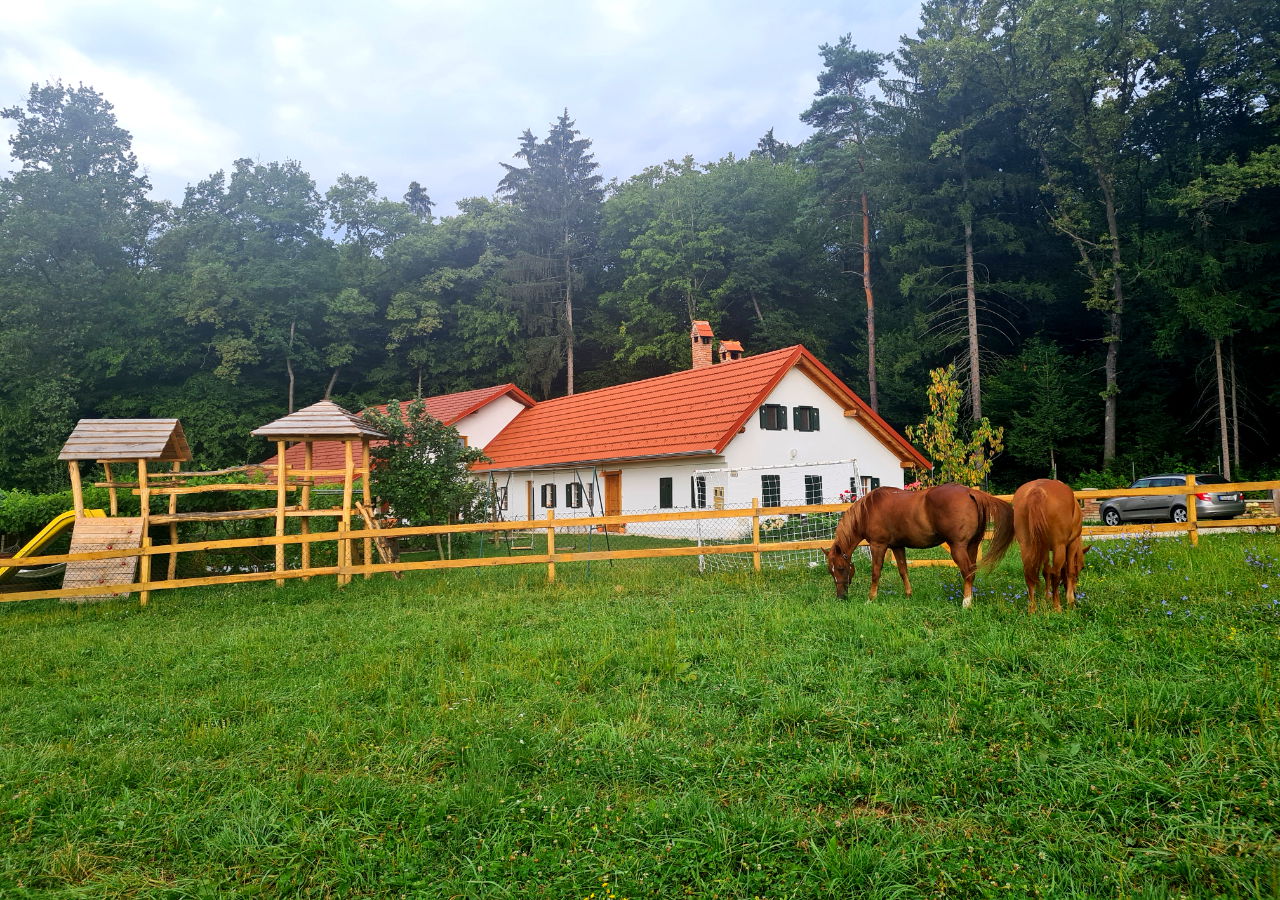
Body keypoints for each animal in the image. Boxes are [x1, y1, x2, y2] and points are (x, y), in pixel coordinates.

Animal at [824, 481, 1013, 609]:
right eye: (830, 571)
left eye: (841, 568)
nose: (841, 597)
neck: (868, 510)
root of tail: (970, 492)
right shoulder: (897, 546)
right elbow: (903, 571)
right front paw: (908, 595)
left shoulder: (878, 545)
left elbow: (876, 573)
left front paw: (871, 598)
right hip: (972, 546)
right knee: (972, 571)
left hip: (958, 547)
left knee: (967, 572)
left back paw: (966, 604)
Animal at [1013, 478, 1085, 611]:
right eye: (1082, 567)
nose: (1076, 591)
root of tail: (1037, 489)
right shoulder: (1071, 544)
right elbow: (1069, 571)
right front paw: (1070, 600)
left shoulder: (1045, 548)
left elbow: (1045, 571)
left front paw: (1047, 597)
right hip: (1059, 546)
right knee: (1055, 573)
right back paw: (1057, 607)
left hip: (1026, 545)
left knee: (1028, 574)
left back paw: (1032, 608)